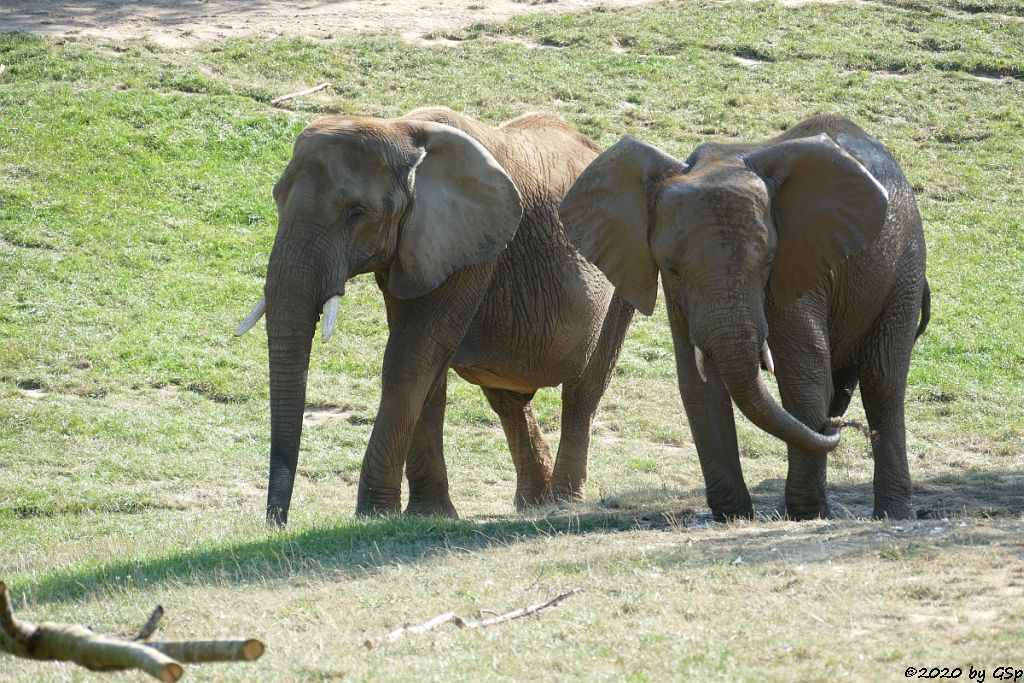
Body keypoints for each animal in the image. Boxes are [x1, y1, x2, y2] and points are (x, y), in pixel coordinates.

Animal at [234, 107, 630, 528]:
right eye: (277, 198)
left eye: (357, 212)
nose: (278, 521)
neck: (402, 133)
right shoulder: (417, 249)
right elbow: (426, 365)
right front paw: (430, 515)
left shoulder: (467, 247)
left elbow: (412, 355)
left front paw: (376, 515)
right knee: (507, 399)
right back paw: (534, 504)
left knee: (584, 391)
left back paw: (564, 502)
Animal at [561, 116, 929, 524]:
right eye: (672, 268)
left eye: (768, 261)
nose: (838, 428)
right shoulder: (678, 297)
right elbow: (698, 383)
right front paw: (734, 516)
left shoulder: (799, 265)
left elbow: (804, 376)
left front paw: (808, 514)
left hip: (905, 266)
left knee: (883, 381)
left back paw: (893, 514)